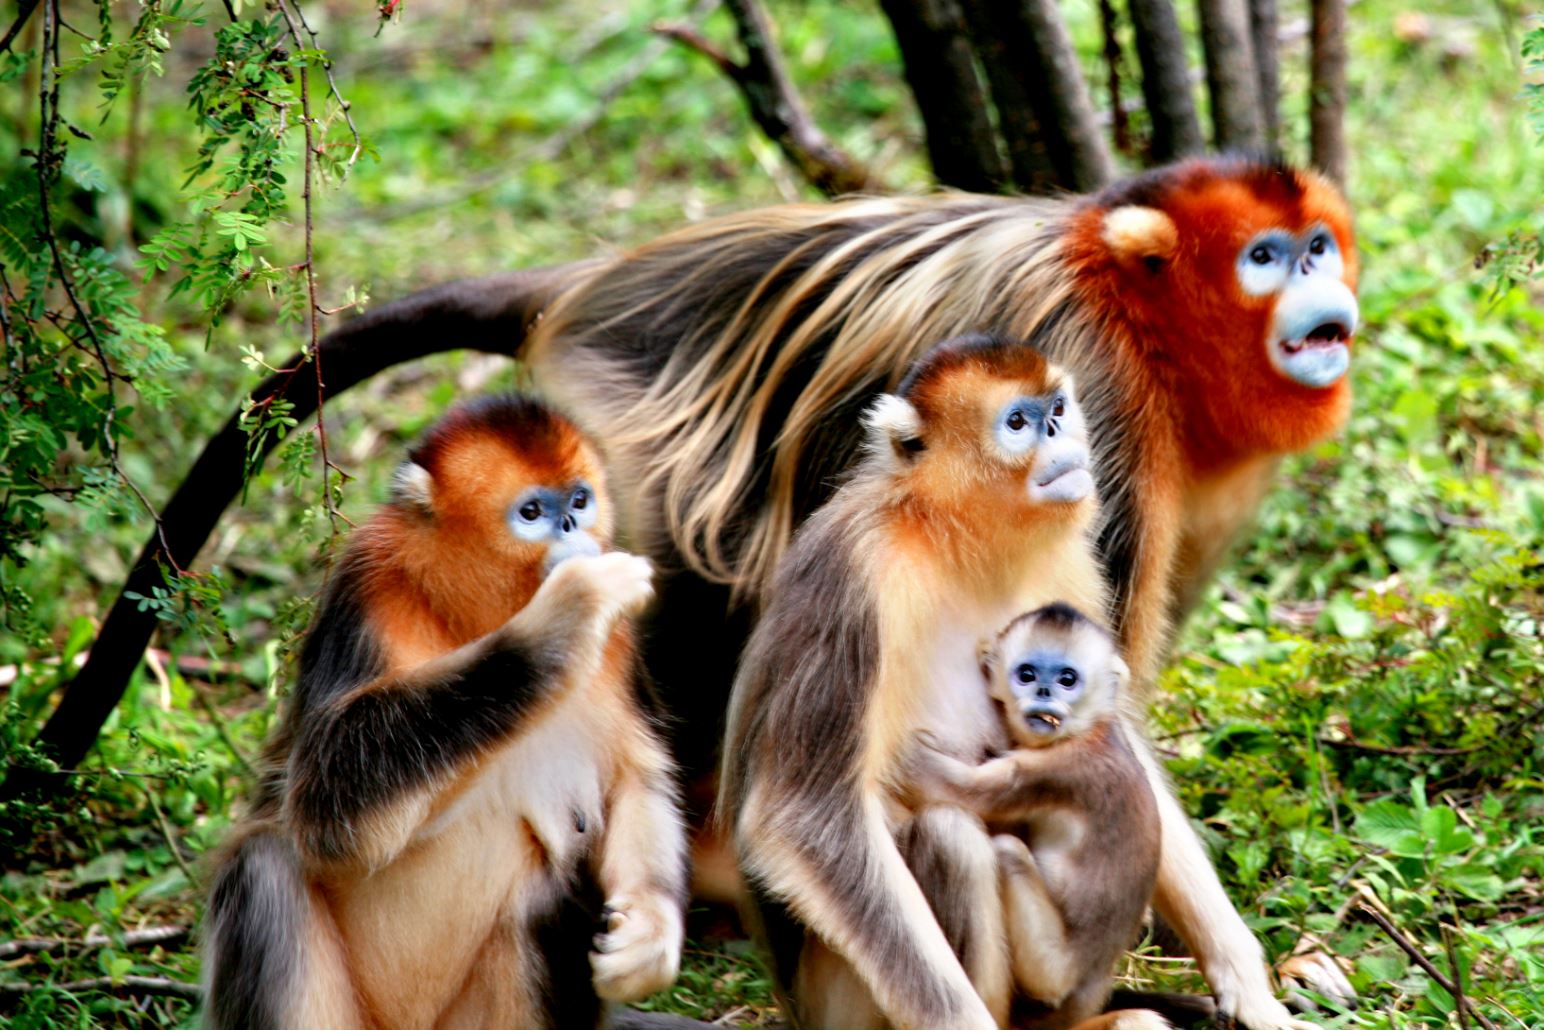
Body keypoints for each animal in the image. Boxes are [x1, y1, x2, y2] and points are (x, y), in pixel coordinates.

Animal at [203, 398, 688, 1030]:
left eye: (580, 500)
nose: (574, 529)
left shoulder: (622, 645)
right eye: (532, 512)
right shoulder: (369, 594)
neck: (468, 619)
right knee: (263, 870)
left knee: (549, 899)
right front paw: (569, 612)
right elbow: (325, 808)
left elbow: (637, 780)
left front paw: (651, 933)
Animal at [907, 605, 1161, 1030]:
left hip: (1052, 969)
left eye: (1067, 679)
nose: (1043, 692)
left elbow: (963, 790)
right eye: (1026, 674)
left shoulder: (1058, 769)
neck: (1090, 730)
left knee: (1007, 850)